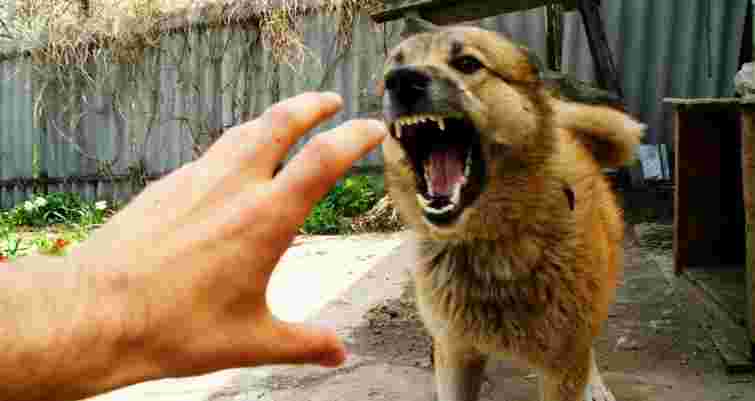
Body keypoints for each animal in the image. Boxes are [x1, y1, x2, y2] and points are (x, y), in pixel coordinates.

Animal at [380, 25, 644, 401]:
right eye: (393, 66)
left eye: (467, 63)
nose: (401, 81)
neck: (491, 245)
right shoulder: (456, 353)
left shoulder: (562, 365)